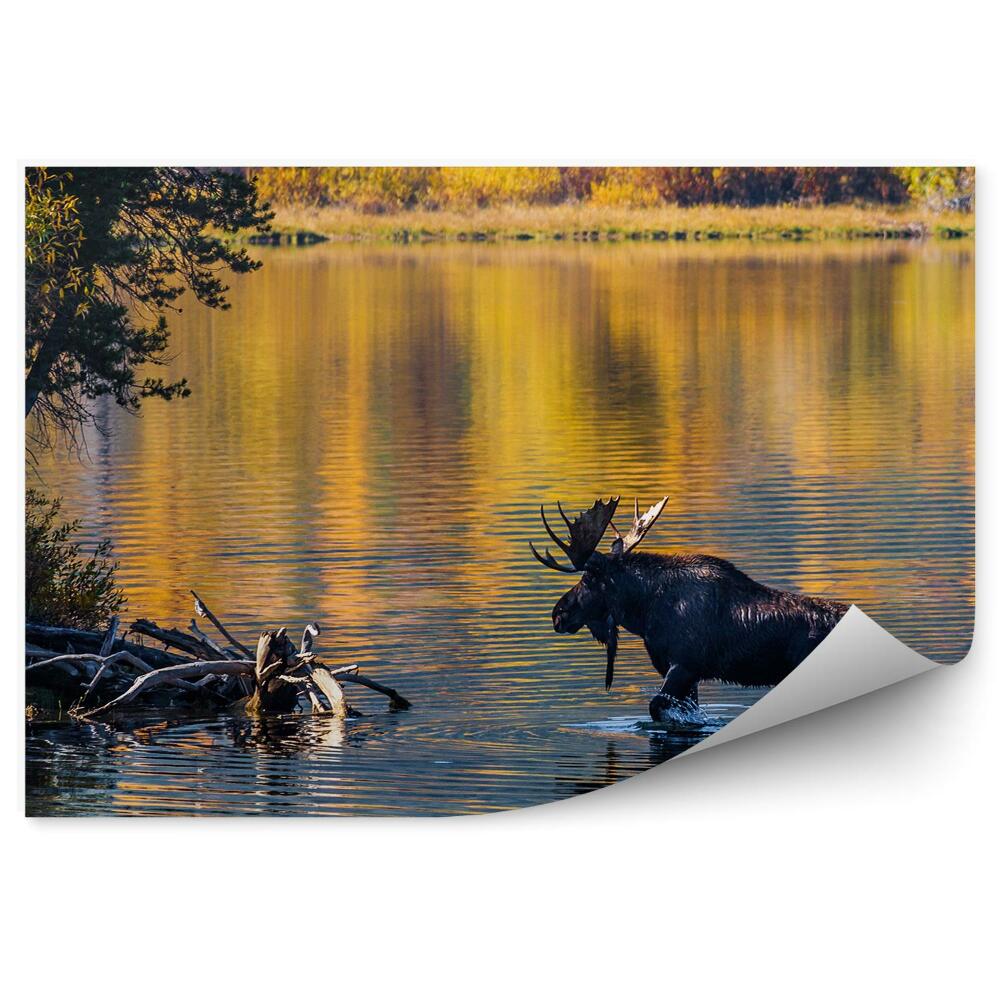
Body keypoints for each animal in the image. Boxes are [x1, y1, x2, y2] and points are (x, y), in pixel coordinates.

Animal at [529, 496, 848, 721]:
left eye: (587, 579)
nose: (558, 613)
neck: (643, 612)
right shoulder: (686, 673)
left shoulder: (684, 665)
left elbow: (658, 708)